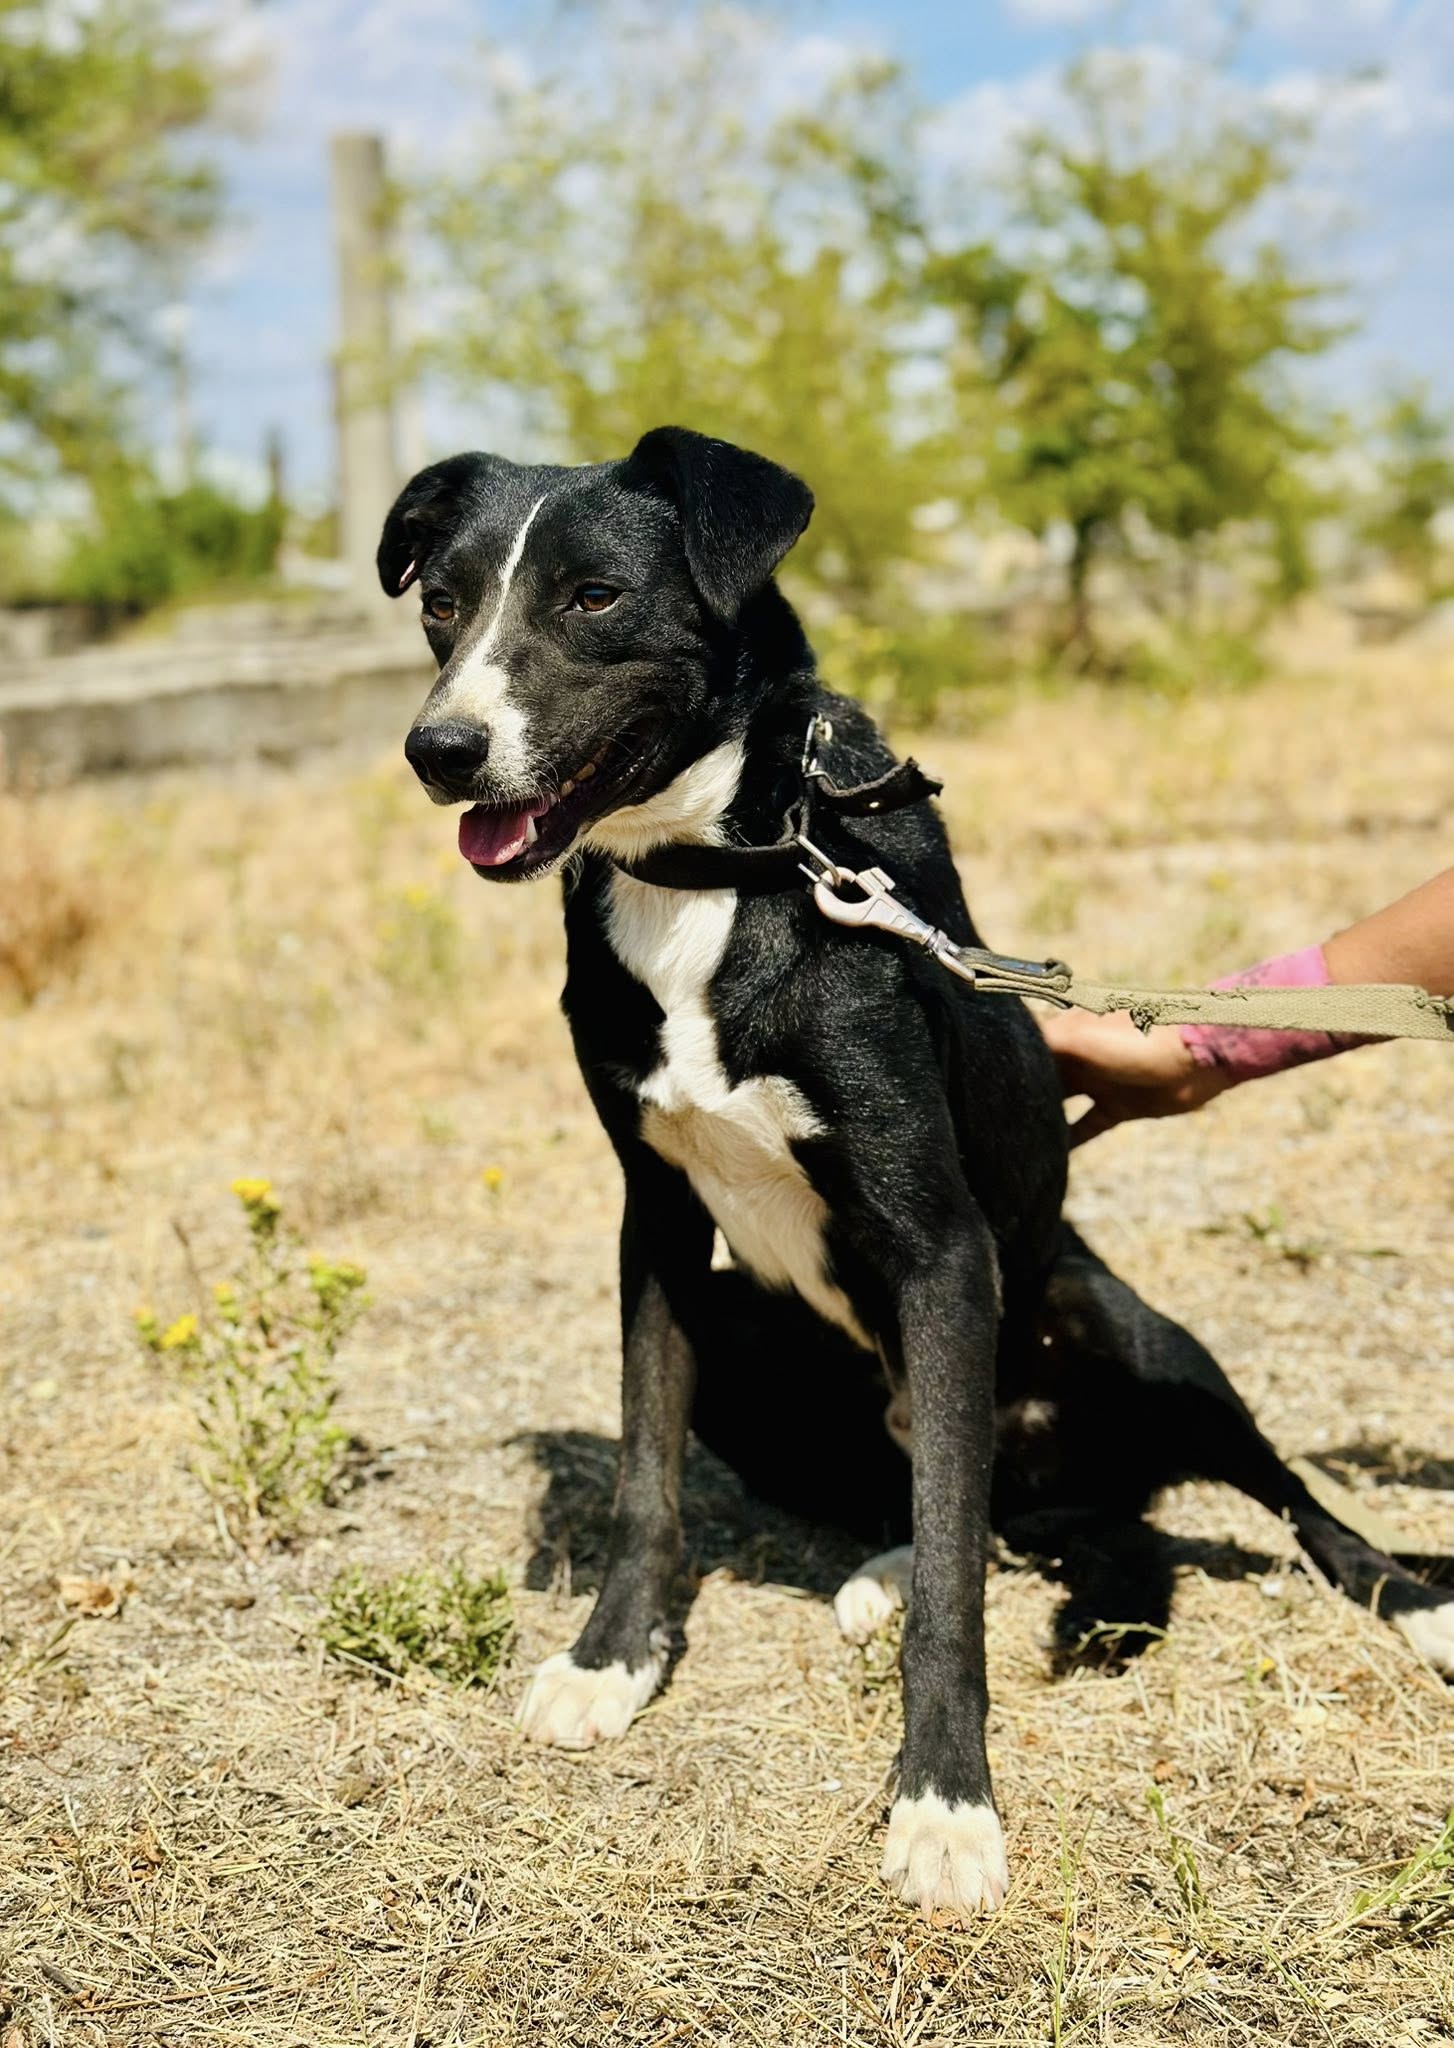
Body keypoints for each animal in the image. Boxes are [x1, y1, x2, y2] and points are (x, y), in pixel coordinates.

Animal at [382, 426, 1454, 1922]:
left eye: (593, 597)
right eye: (444, 599)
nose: (440, 750)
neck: (718, 868)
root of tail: (1081, 1484)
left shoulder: (943, 1250)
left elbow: (958, 1579)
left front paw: (944, 1800)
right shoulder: (654, 1225)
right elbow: (648, 1479)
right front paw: (610, 1663)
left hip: (1127, 1329)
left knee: (1263, 1498)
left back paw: (1414, 1602)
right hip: (759, 1350)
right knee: (963, 1498)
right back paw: (883, 1562)